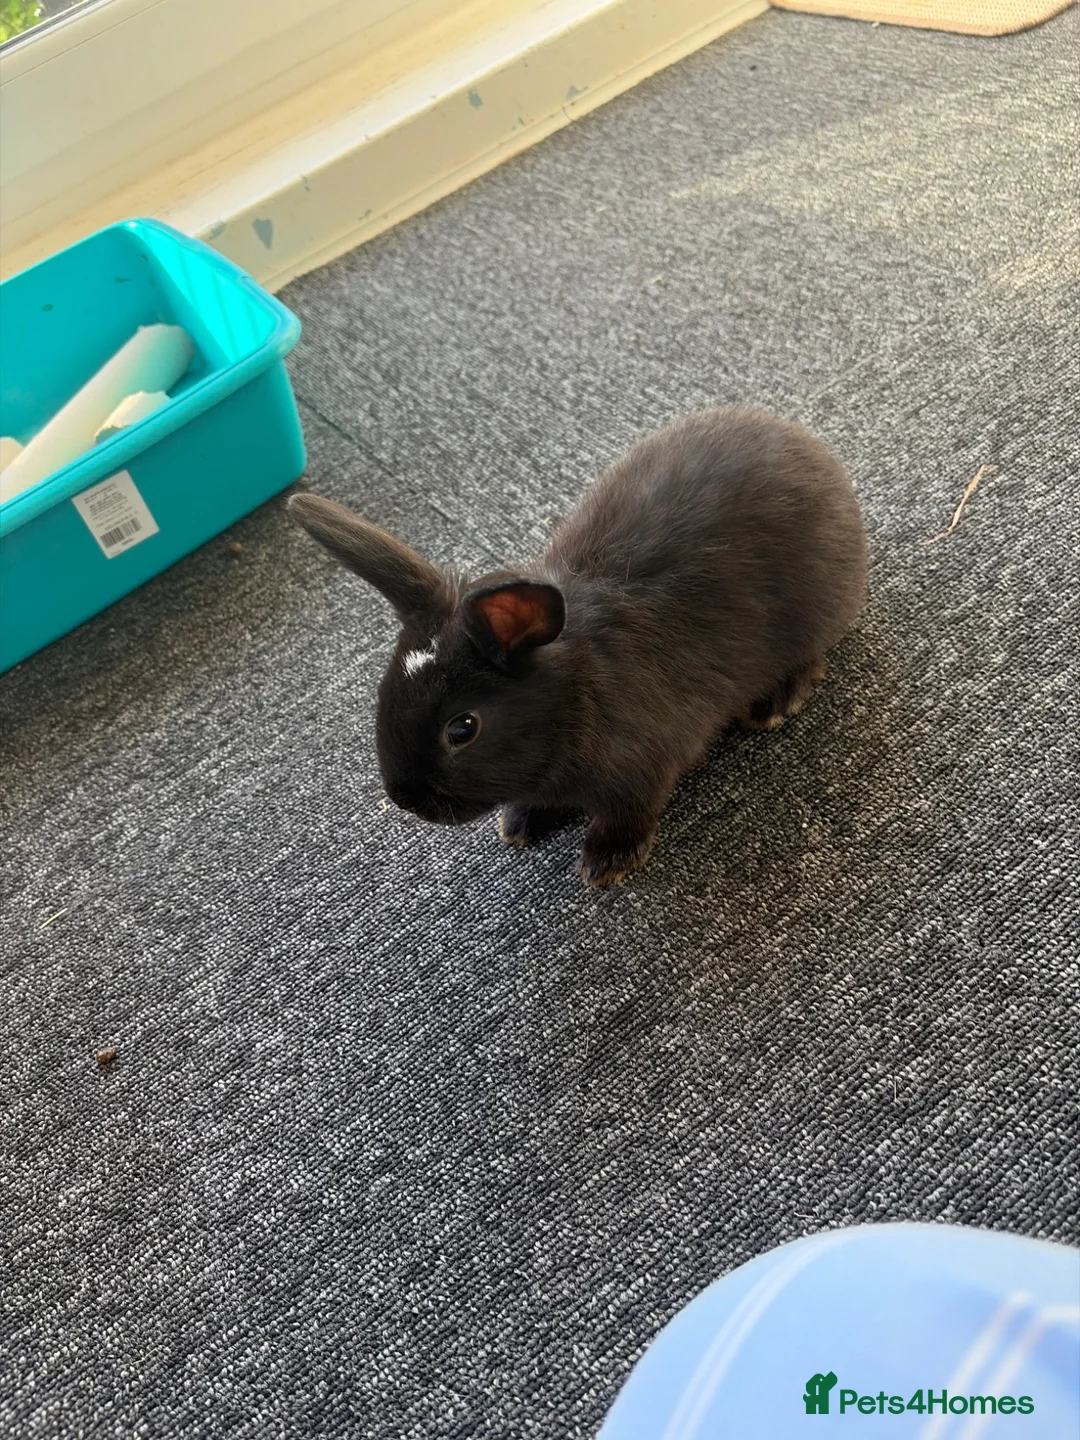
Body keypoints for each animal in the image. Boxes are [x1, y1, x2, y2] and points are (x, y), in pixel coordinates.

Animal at [288, 405, 868, 887]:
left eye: (462, 728)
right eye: (383, 691)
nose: (404, 799)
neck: (570, 699)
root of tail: (812, 448)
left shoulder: (641, 774)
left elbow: (626, 816)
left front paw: (606, 863)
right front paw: (520, 824)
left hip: (816, 612)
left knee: (811, 656)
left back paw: (775, 703)